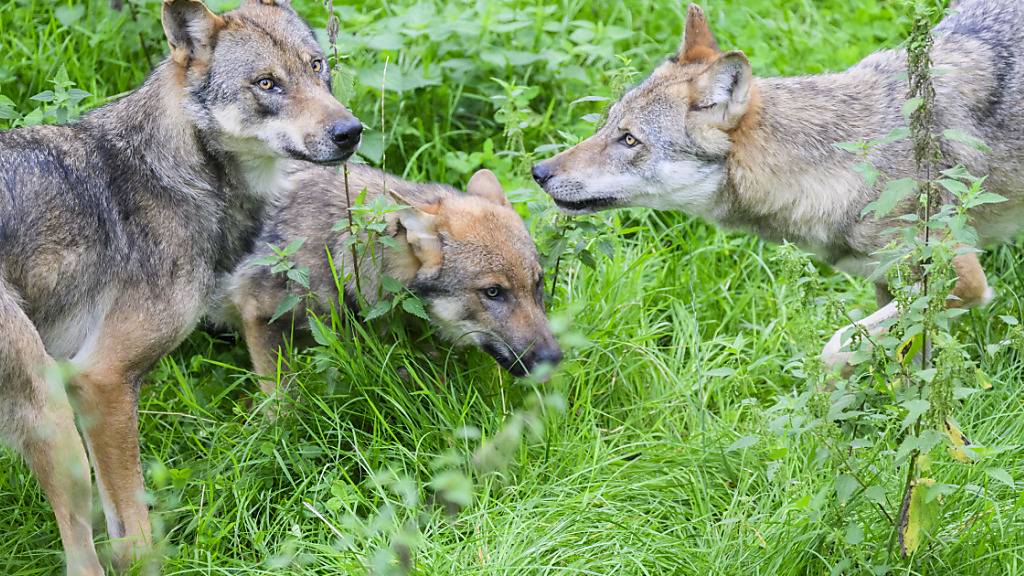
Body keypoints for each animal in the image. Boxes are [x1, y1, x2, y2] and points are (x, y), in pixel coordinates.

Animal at [0, 0, 364, 569]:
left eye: (316, 66)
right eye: (267, 83)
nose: (350, 131)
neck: (177, 172)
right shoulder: (101, 379)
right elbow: (134, 531)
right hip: (54, 425)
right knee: (81, 556)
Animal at [216, 162, 565, 393]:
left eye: (537, 284)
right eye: (493, 292)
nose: (554, 358)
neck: (336, 248)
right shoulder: (258, 315)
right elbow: (283, 403)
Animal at [532, 0, 1019, 366]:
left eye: (630, 139)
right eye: (607, 124)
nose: (539, 172)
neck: (845, 165)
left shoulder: (959, 280)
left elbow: (836, 350)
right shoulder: (889, 284)